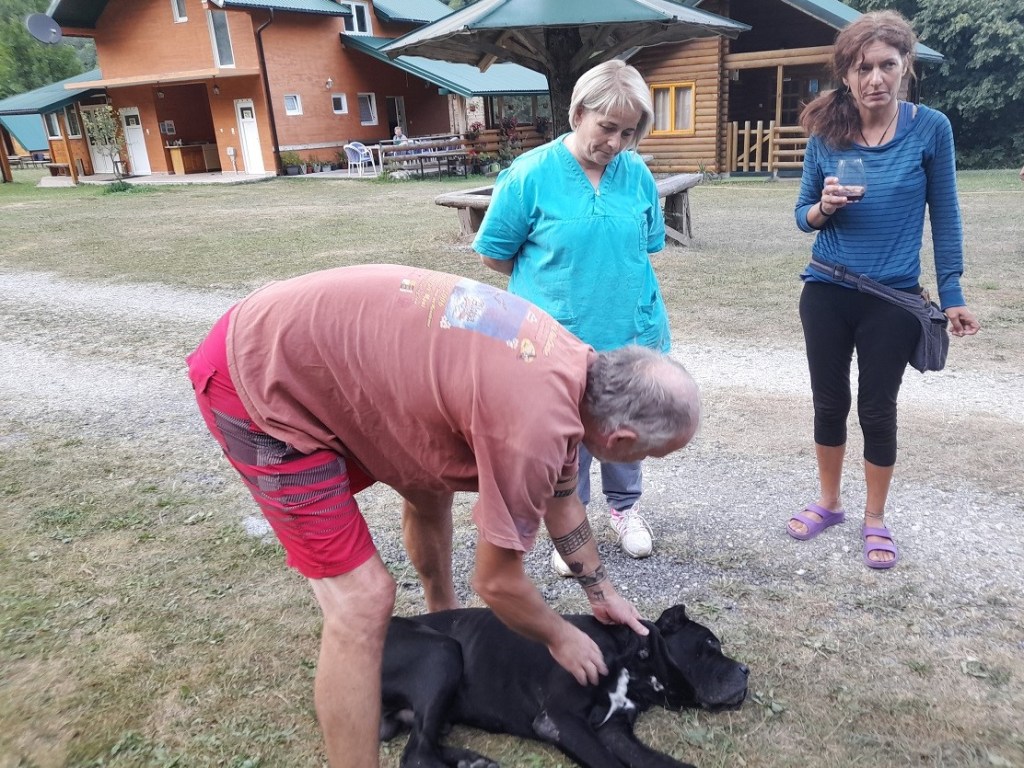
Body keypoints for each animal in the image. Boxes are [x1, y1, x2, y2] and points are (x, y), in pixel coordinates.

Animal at [380, 604, 749, 768]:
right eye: (711, 644)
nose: (746, 670)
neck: (634, 661)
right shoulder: (561, 719)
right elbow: (609, 764)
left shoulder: (614, 731)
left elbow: (659, 762)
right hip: (442, 651)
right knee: (416, 755)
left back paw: (472, 761)